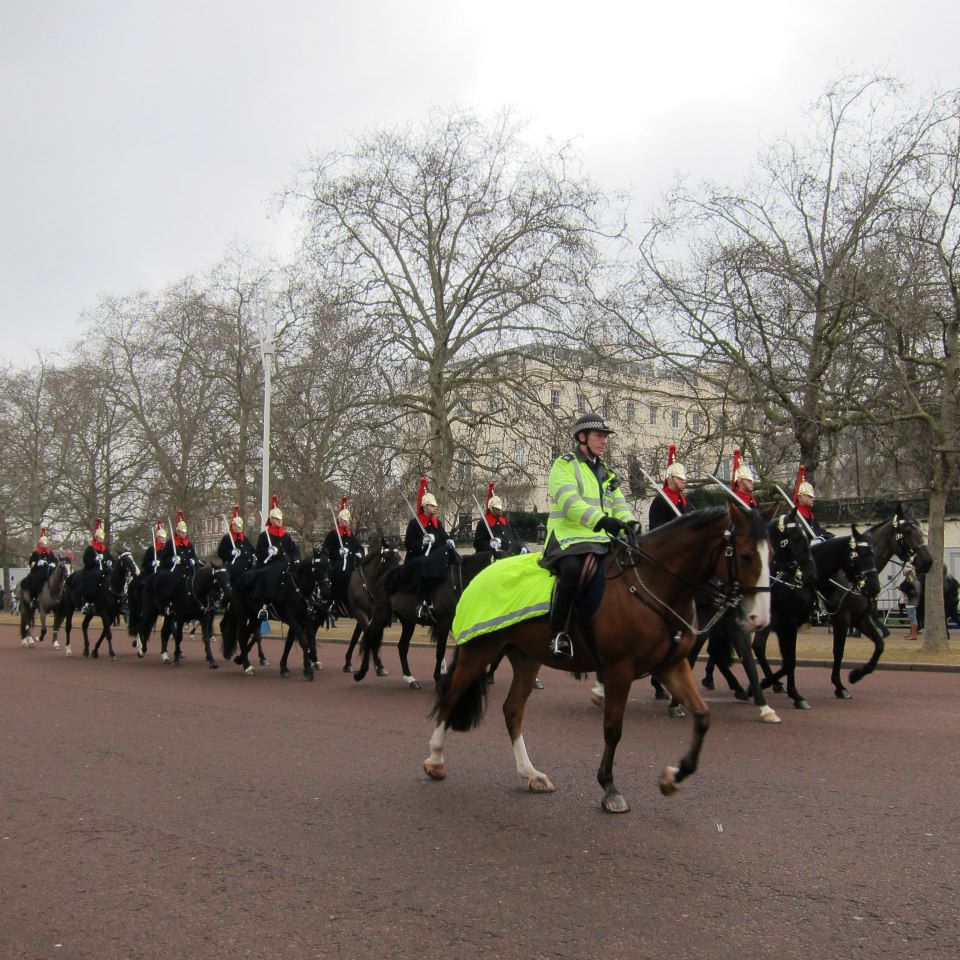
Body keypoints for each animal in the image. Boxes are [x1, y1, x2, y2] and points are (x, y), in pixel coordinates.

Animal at [222, 552, 334, 680]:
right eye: (317, 568)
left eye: (329, 568)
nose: (326, 594)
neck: (298, 587)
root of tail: (238, 580)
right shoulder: (292, 619)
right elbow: (303, 641)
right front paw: (308, 670)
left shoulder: (301, 620)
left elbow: (290, 643)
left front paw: (285, 667)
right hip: (242, 614)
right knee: (241, 635)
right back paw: (247, 666)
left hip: (255, 617)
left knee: (247, 634)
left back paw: (241, 659)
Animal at [424, 506, 768, 812]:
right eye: (746, 555)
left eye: (772, 554)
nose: (758, 618)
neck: (651, 583)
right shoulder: (620, 669)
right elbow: (613, 728)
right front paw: (609, 787)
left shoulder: (671, 666)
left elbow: (703, 716)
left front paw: (674, 777)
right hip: (479, 651)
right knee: (450, 696)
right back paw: (435, 760)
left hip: (525, 658)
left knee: (512, 711)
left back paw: (531, 774)